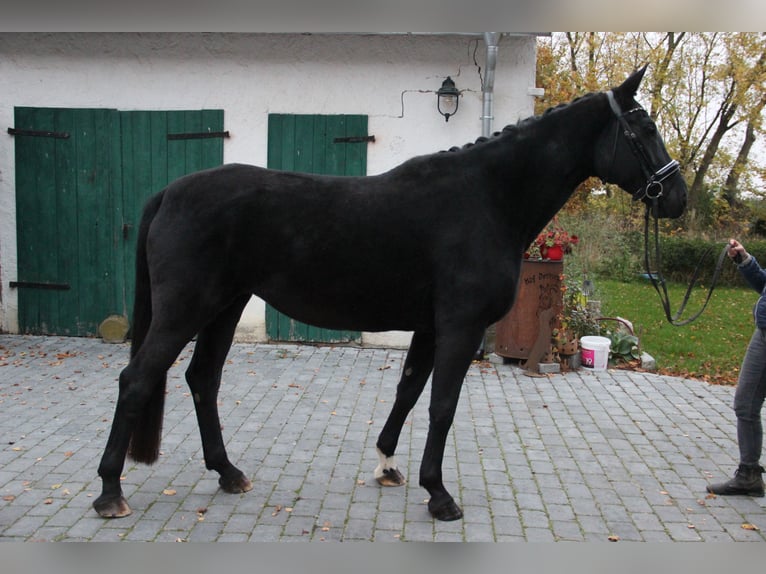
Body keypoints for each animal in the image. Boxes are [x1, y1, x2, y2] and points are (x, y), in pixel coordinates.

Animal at [93, 66, 688, 520]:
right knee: (137, 380)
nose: (678, 197)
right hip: (186, 310)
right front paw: (440, 495)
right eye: (643, 127)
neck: (486, 198)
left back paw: (228, 472)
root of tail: (170, 191)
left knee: (202, 380)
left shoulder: (429, 326)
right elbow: (442, 405)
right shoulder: (460, 326)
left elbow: (407, 392)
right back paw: (110, 493)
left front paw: (387, 466)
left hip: (224, 307)